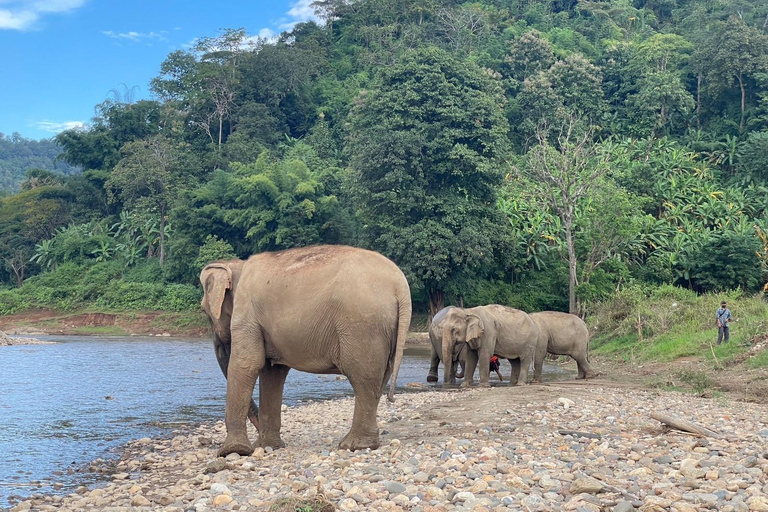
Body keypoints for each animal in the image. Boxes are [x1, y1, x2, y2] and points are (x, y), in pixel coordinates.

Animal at [201, 244, 412, 456]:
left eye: (203, 311)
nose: (257, 429)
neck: (238, 265)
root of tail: (400, 285)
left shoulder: (247, 314)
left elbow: (247, 364)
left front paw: (233, 451)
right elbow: (272, 372)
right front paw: (267, 446)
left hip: (362, 325)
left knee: (363, 378)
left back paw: (352, 445)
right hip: (384, 330)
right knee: (378, 378)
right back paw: (363, 443)